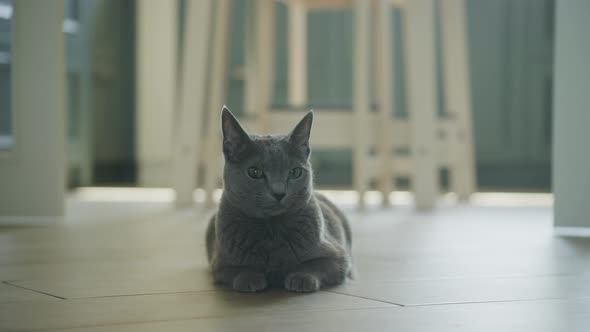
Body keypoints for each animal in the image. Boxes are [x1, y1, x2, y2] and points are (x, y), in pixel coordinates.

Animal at [207, 106, 354, 294]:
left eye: (295, 172)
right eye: (255, 172)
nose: (279, 193)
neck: (271, 229)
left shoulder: (339, 257)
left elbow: (316, 264)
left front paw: (300, 278)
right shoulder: (219, 264)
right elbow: (238, 269)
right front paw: (250, 278)